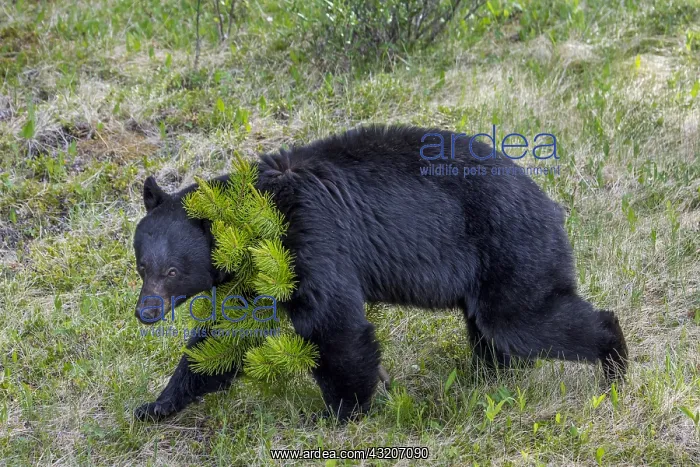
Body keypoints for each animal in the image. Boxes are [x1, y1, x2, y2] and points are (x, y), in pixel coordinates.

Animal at [132, 125, 628, 422]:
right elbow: (222, 338)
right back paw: (488, 376)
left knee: (523, 320)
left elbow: (335, 325)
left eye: (172, 270)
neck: (254, 214)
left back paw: (614, 365)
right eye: (141, 265)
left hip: (511, 249)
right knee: (493, 332)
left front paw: (342, 410)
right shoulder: (259, 272)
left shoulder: (309, 239)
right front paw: (156, 405)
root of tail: (551, 204)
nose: (146, 312)